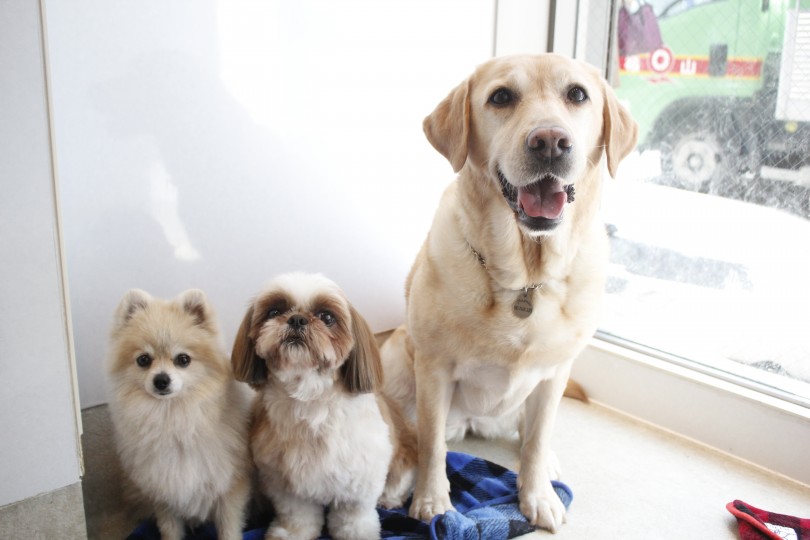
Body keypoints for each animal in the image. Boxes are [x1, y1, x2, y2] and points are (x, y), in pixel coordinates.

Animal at [105, 286, 249, 540]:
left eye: (183, 359)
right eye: (144, 360)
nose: (161, 380)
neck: (173, 418)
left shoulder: (229, 487)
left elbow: (228, 529)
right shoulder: (164, 492)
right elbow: (170, 529)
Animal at [229, 272, 414, 540]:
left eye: (327, 317)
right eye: (274, 311)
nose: (297, 319)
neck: (310, 400)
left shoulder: (361, 476)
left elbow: (354, 516)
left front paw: (357, 533)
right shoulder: (284, 480)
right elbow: (297, 514)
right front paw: (292, 533)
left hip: (402, 457)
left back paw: (390, 499)